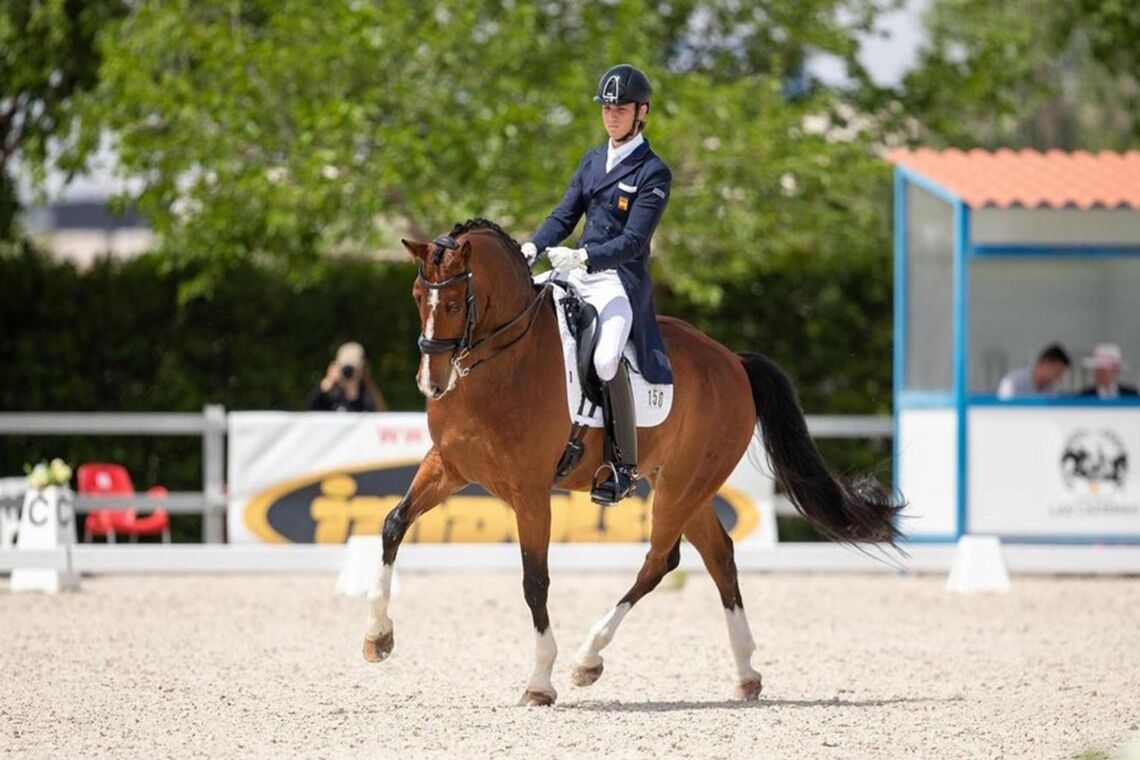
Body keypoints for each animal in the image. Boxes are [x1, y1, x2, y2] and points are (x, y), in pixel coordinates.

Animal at [362, 216, 898, 706]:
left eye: (455, 303)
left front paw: (540, 681)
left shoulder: (530, 491)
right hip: (684, 484)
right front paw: (377, 638)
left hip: (682, 486)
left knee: (662, 560)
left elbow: (535, 579)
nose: (431, 382)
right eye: (417, 296)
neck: (501, 364)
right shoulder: (450, 467)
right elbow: (393, 524)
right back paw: (747, 674)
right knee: (719, 555)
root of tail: (733, 361)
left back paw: (588, 658)